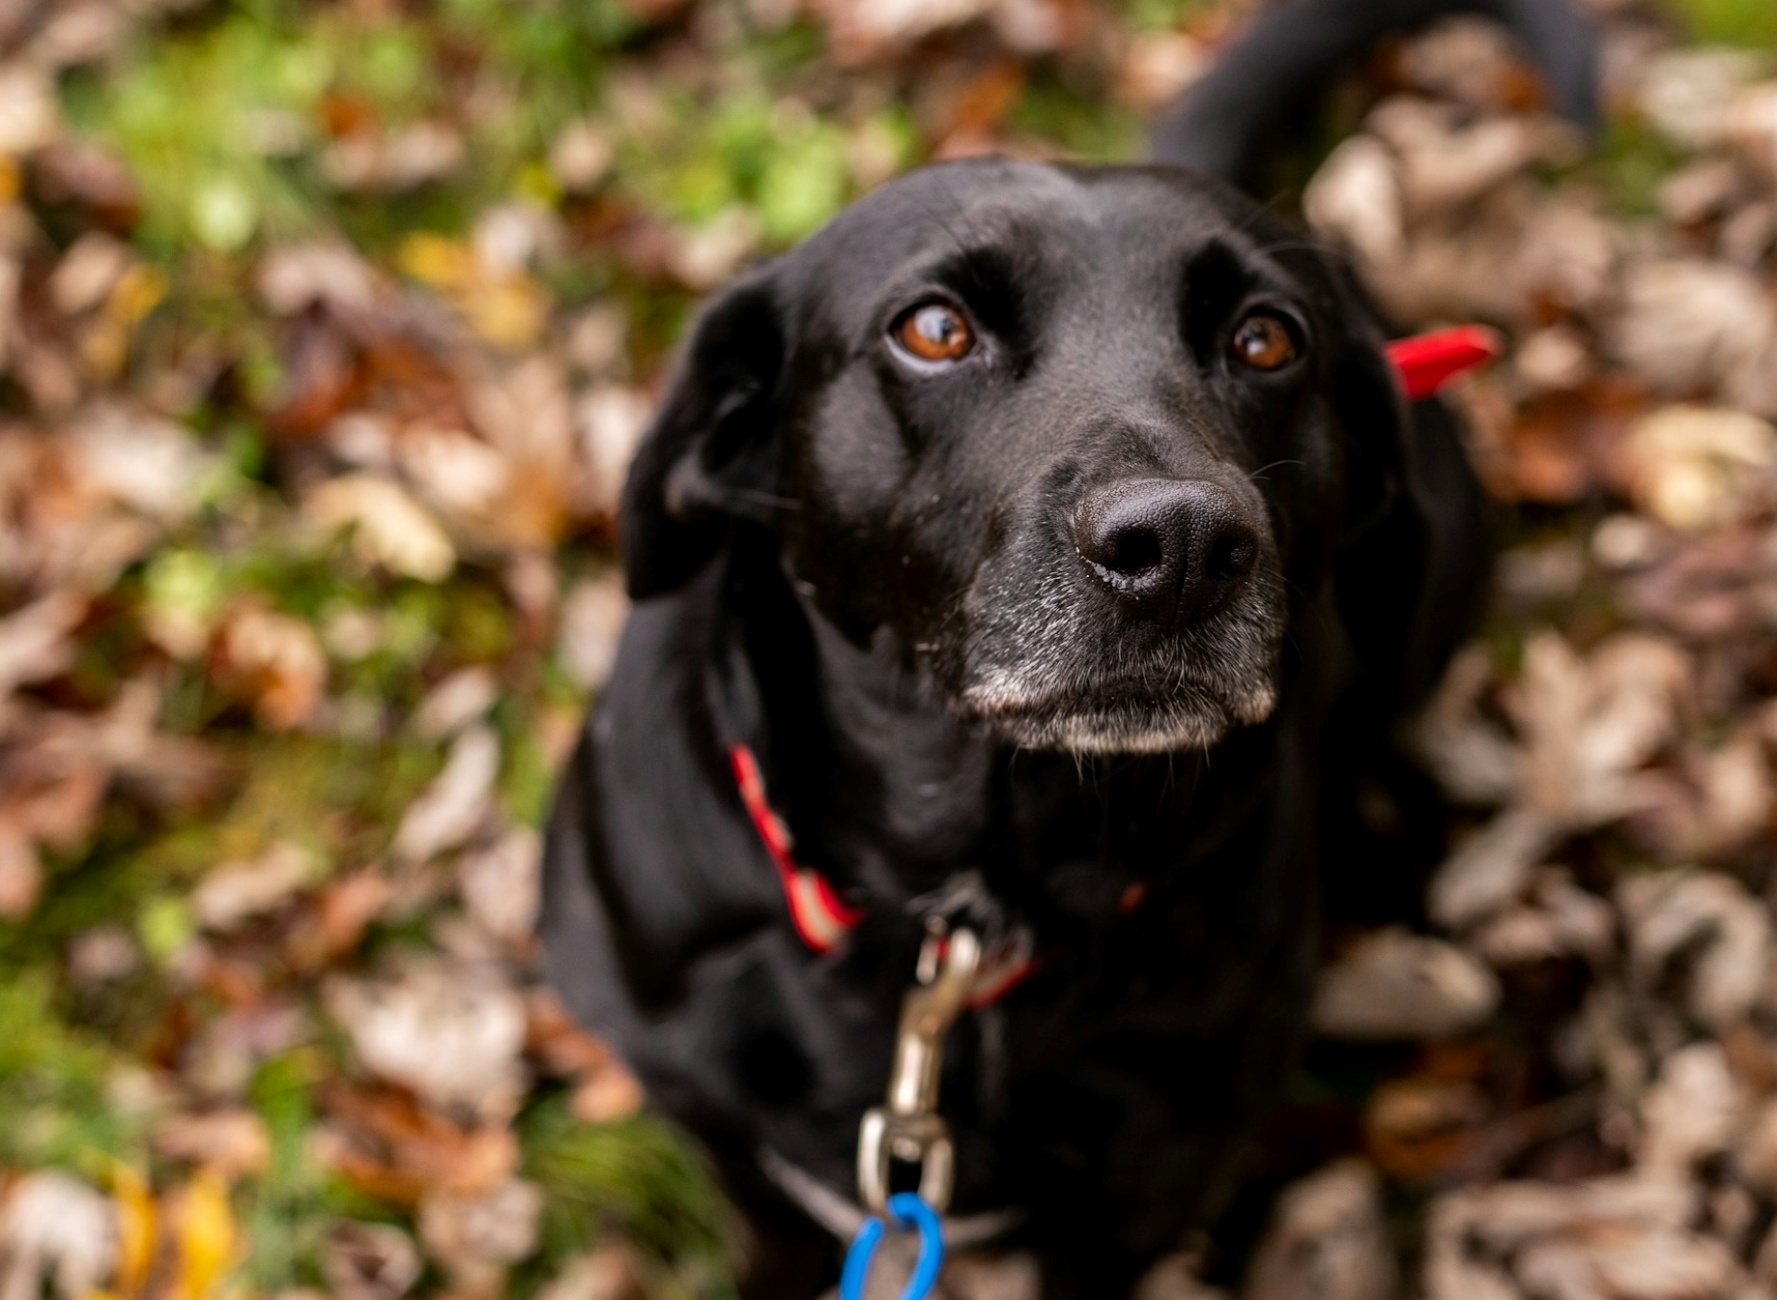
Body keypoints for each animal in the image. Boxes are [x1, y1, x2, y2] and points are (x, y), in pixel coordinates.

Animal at [540, 5, 1599, 1292]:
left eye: (1266, 340)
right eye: (934, 329)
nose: (1182, 546)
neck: (969, 908)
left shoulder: (1148, 1181)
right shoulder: (733, 1142)